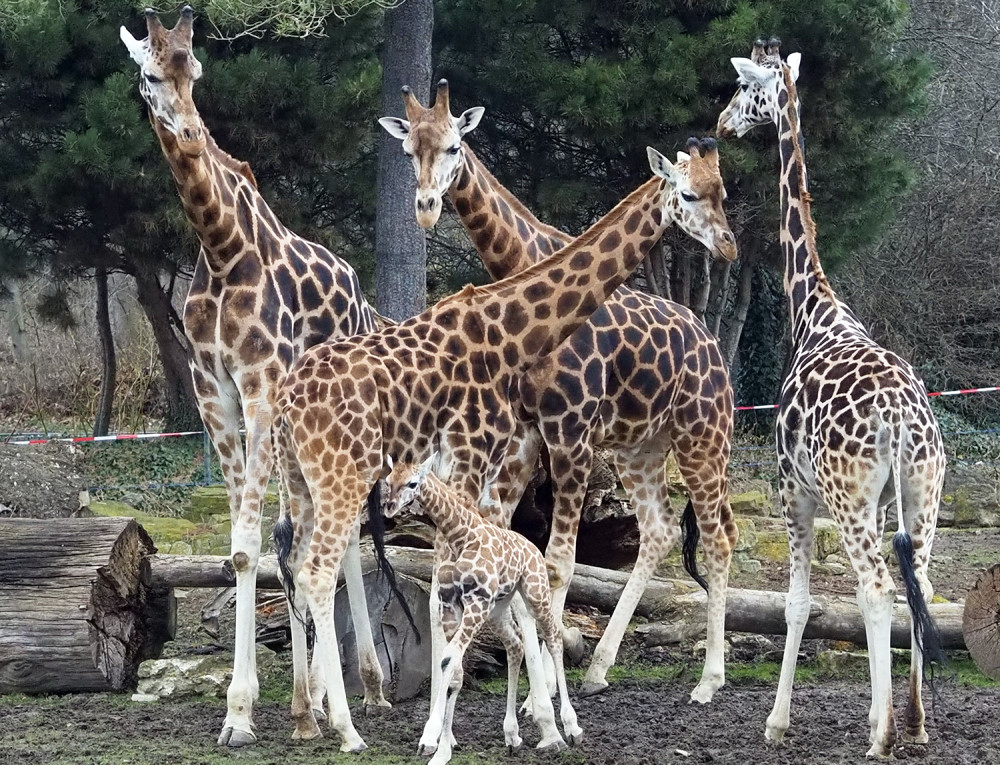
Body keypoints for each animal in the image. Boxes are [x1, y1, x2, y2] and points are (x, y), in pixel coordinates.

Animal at [119, 5, 392, 748]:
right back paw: (318, 702)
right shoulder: (213, 391)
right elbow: (249, 551)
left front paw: (253, 709)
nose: (188, 132)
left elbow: (259, 544)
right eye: (149, 75)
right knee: (303, 536)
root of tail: (363, 299)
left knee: (333, 536)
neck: (220, 247)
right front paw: (260, 710)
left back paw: (361, 687)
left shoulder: (260, 385)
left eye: (195, 69)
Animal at [382, 80, 744, 700]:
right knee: (659, 530)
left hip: (704, 436)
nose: (728, 246)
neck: (520, 262)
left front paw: (541, 688)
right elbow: (506, 542)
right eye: (411, 151)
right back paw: (599, 668)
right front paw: (528, 682)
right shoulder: (526, 435)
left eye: (455, 146)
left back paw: (709, 680)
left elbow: (557, 562)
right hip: (641, 446)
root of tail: (713, 348)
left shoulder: (571, 433)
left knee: (718, 535)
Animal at [382, 454, 584, 764]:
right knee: (515, 645)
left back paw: (571, 729)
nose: (389, 507)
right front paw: (442, 748)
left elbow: (449, 658)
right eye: (388, 480)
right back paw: (512, 736)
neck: (460, 536)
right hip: (498, 609)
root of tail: (534, 549)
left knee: (553, 637)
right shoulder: (452, 606)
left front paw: (431, 738)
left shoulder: (476, 603)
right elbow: (453, 669)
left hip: (534, 592)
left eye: (413, 483)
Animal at [720, 38, 944, 756]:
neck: (812, 310)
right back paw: (915, 723)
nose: (722, 125)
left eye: (745, 90)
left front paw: (775, 720)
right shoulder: (878, 500)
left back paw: (881, 734)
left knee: (876, 586)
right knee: (919, 583)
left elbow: (797, 602)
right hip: (922, 491)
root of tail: (901, 419)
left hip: (848, 496)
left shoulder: (793, 487)